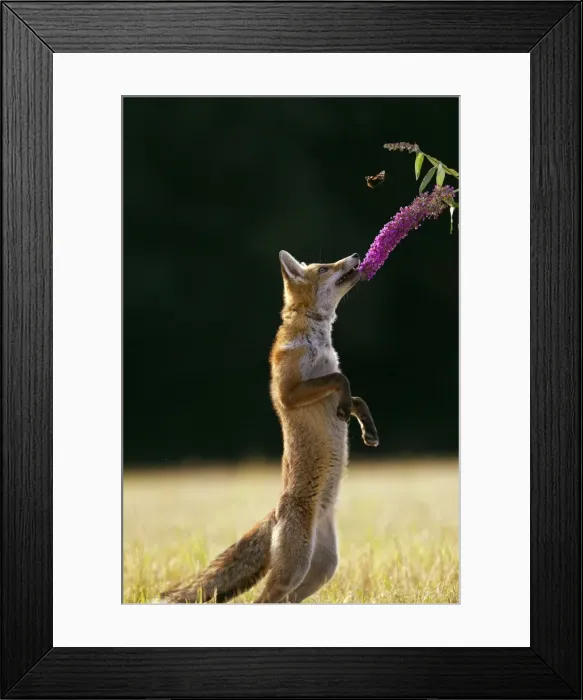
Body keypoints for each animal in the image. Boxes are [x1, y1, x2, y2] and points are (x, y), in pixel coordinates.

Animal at [161, 250, 378, 604]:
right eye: (324, 268)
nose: (357, 255)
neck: (316, 340)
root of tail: (277, 512)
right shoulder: (289, 392)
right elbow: (340, 379)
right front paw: (348, 410)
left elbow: (355, 395)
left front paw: (367, 429)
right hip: (296, 567)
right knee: (261, 599)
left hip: (319, 570)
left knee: (282, 599)